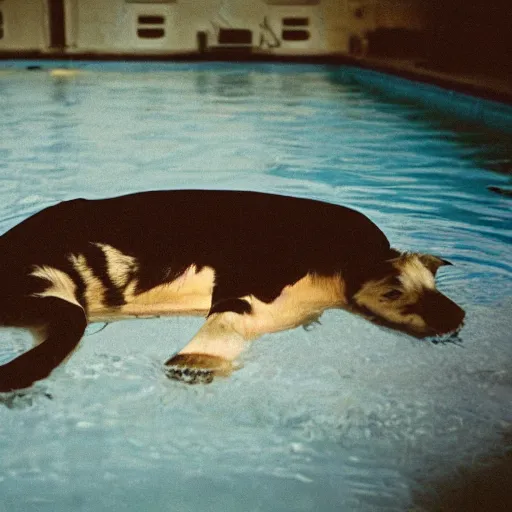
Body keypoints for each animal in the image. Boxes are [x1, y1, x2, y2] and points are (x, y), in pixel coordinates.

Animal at [0, 190, 464, 390]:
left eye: (434, 282)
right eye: (392, 291)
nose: (456, 316)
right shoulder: (254, 279)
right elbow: (230, 313)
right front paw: (188, 367)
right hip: (50, 293)